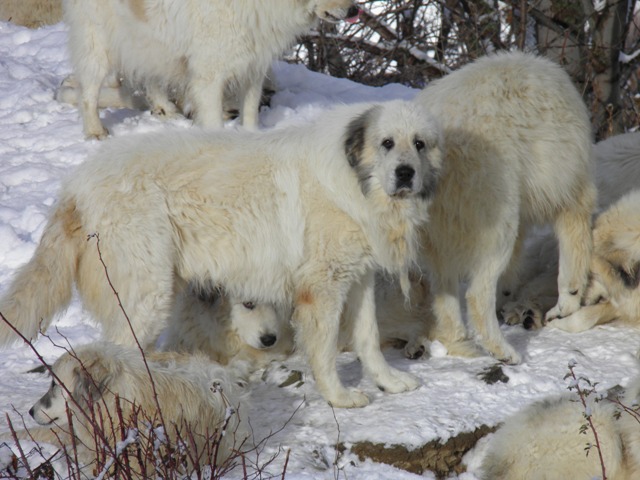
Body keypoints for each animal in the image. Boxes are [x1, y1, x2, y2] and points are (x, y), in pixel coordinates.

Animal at [0, 101, 442, 408]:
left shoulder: (358, 279)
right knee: (117, 354)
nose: (405, 173)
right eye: (387, 143)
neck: (351, 181)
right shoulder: (322, 289)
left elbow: (368, 338)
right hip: (146, 296)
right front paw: (339, 397)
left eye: (419, 144)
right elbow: (325, 350)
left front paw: (388, 382)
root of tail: (75, 186)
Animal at [63, 0, 360, 139]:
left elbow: (250, 112)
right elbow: (214, 120)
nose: (354, 10)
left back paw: (165, 110)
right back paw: (95, 132)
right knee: (88, 93)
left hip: (152, 44)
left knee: (152, 79)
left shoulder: (253, 66)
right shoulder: (209, 76)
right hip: (98, 45)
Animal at [416, 50, 596, 362]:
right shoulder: (565, 175)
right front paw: (565, 305)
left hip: (438, 223)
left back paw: (460, 341)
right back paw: (504, 350)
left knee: (443, 282)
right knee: (477, 288)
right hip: (491, 196)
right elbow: (573, 229)